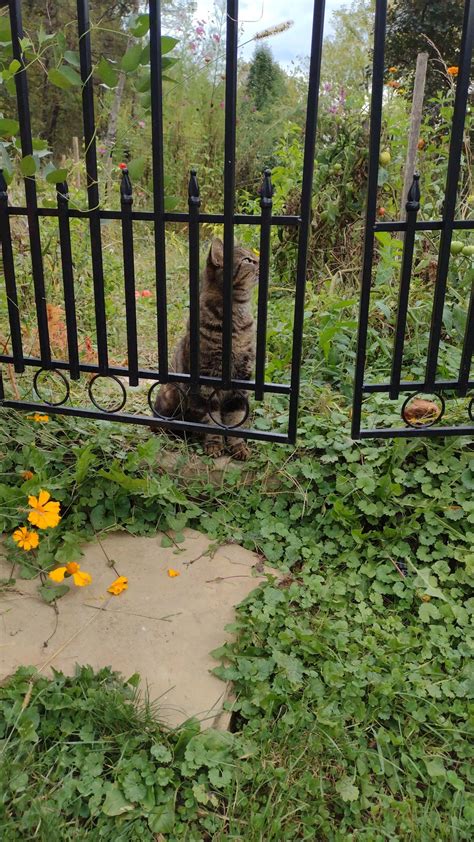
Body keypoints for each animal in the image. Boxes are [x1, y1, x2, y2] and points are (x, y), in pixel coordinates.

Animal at [155, 236, 260, 460]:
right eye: (248, 260)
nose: (263, 262)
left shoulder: (241, 378)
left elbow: (236, 418)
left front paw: (238, 446)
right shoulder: (206, 382)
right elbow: (211, 419)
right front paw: (214, 445)